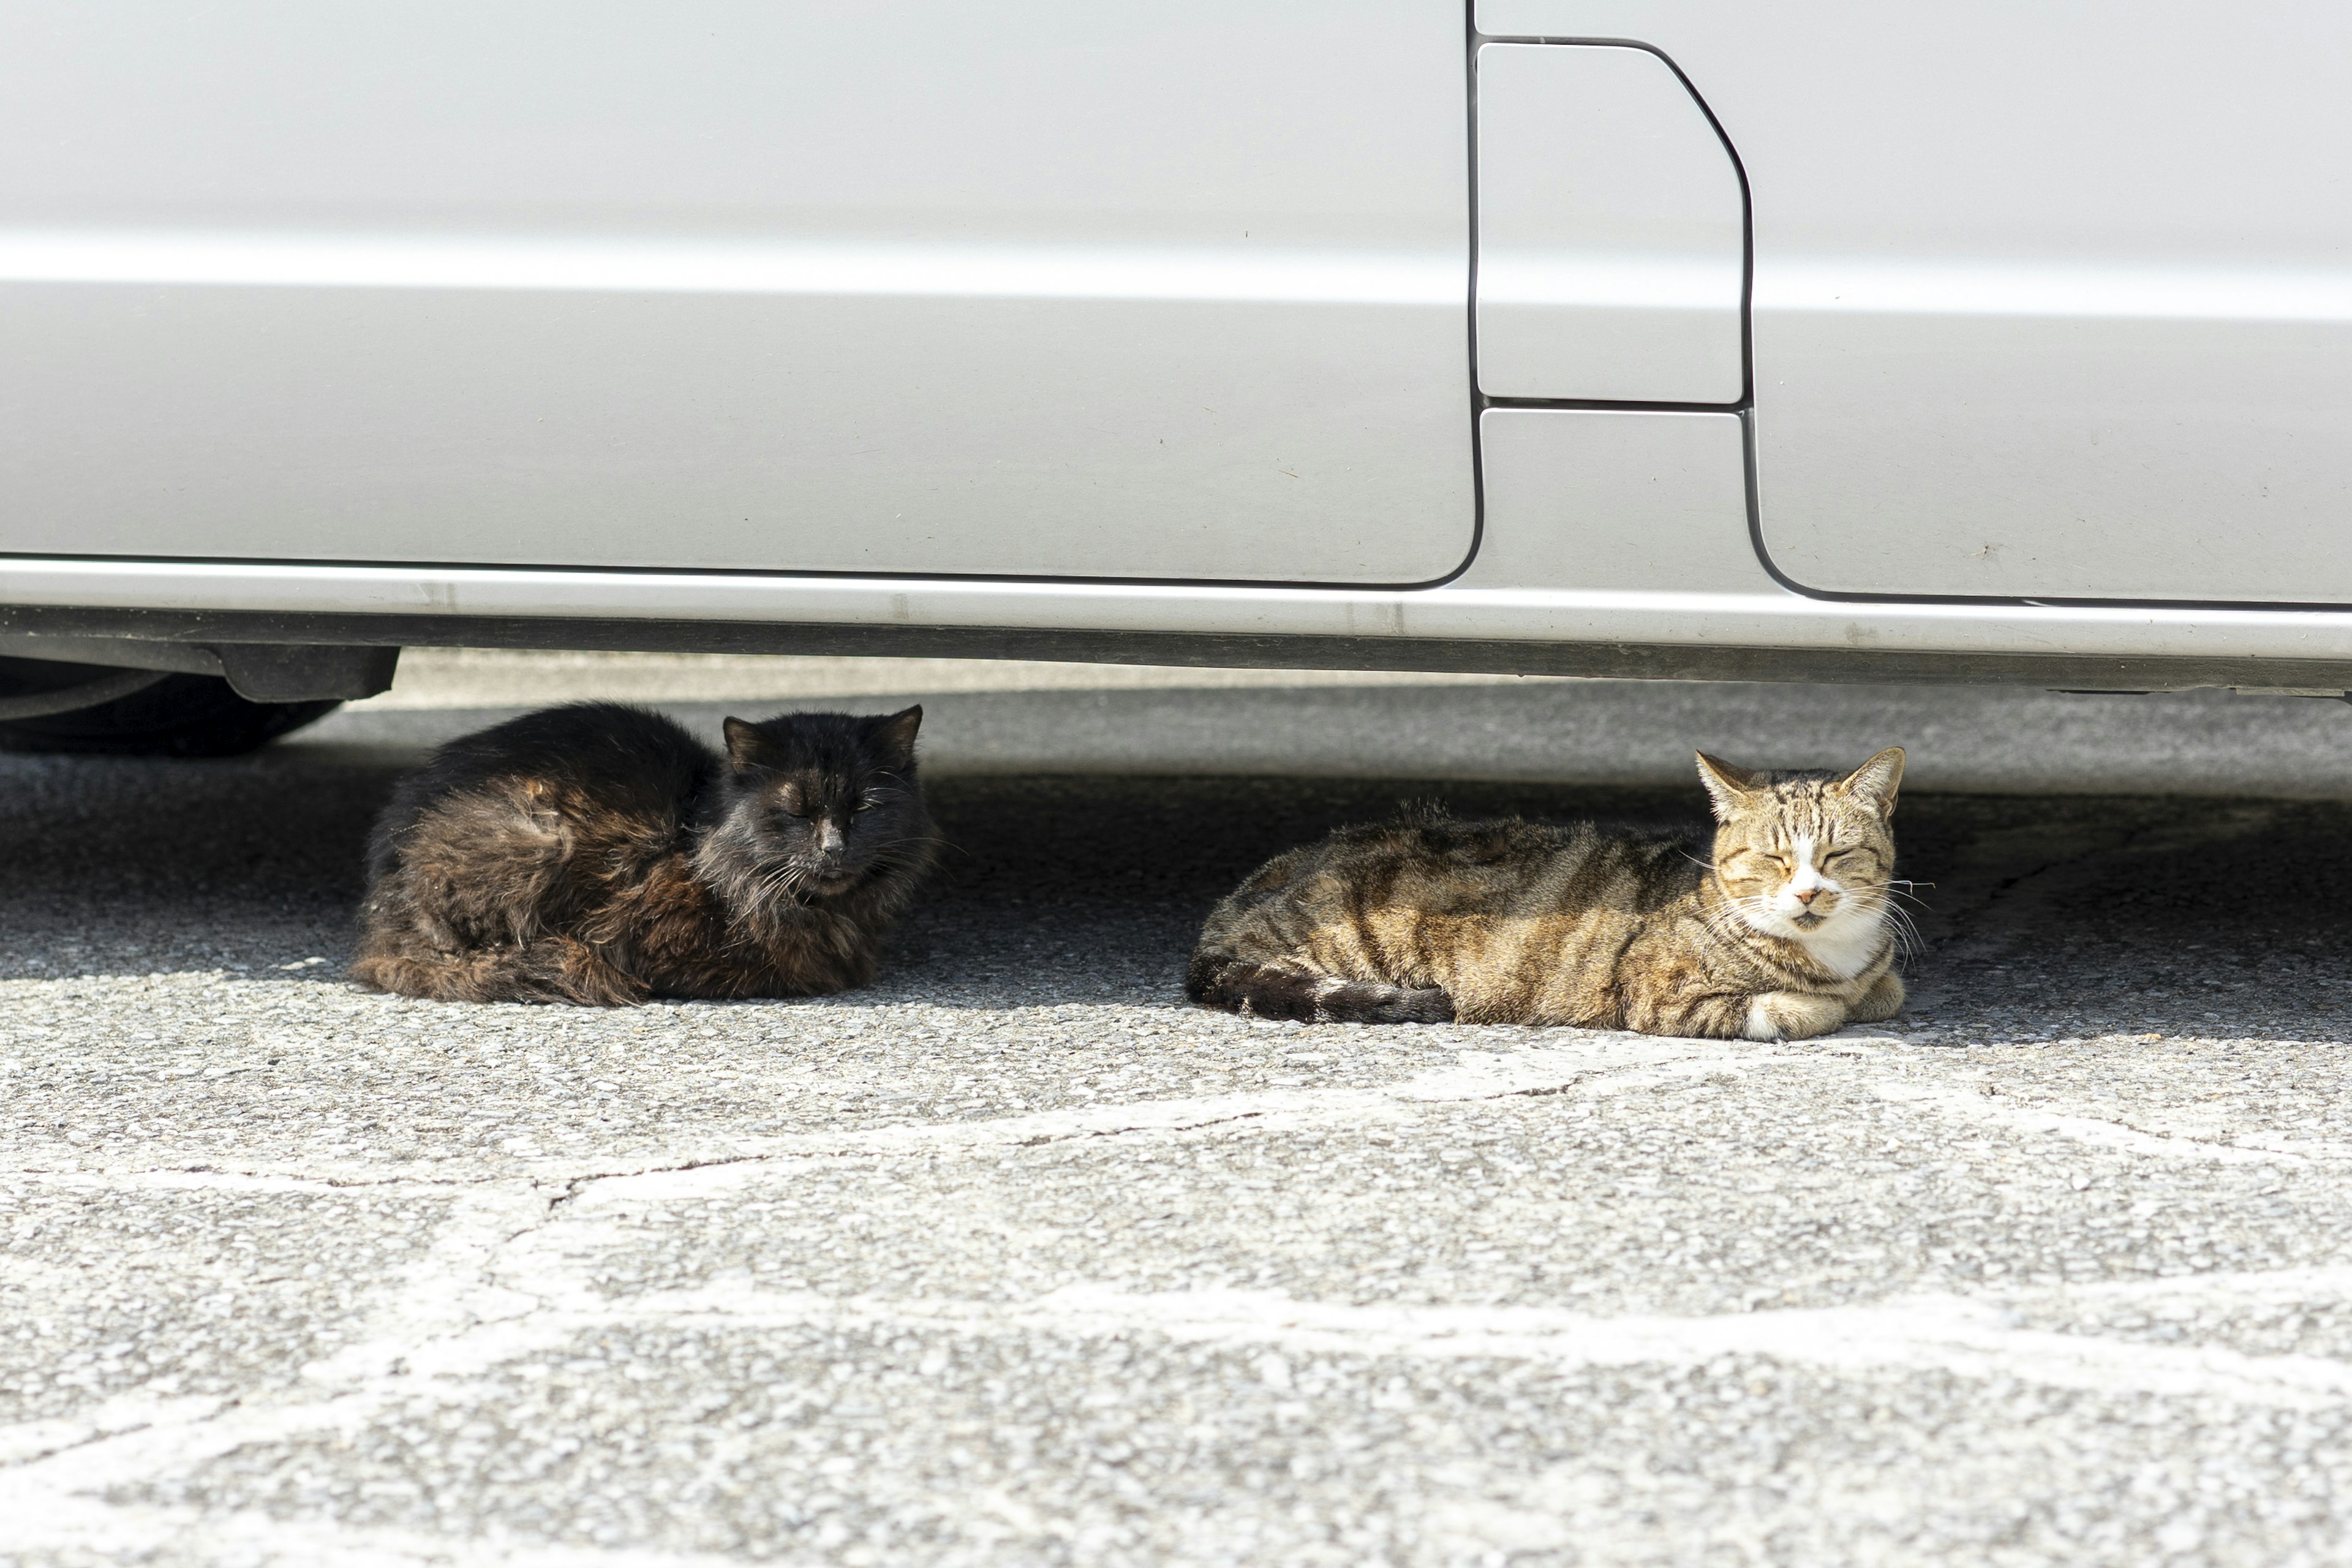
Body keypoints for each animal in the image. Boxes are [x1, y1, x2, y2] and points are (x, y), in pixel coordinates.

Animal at [1194, 752, 1910, 1044]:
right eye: (1772, 858)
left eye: (1837, 856)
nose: (1808, 891)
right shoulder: (1661, 996)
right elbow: (1801, 1009)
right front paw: (1824, 1003)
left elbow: (1888, 988)